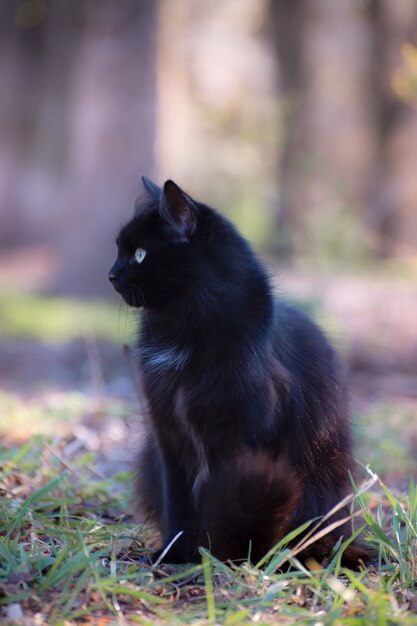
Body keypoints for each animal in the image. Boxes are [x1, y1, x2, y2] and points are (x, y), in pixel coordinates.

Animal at [108, 177, 368, 564]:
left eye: (139, 254)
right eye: (120, 250)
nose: (110, 275)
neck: (182, 330)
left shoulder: (236, 440)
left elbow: (228, 504)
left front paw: (224, 557)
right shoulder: (170, 437)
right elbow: (179, 505)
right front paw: (175, 555)